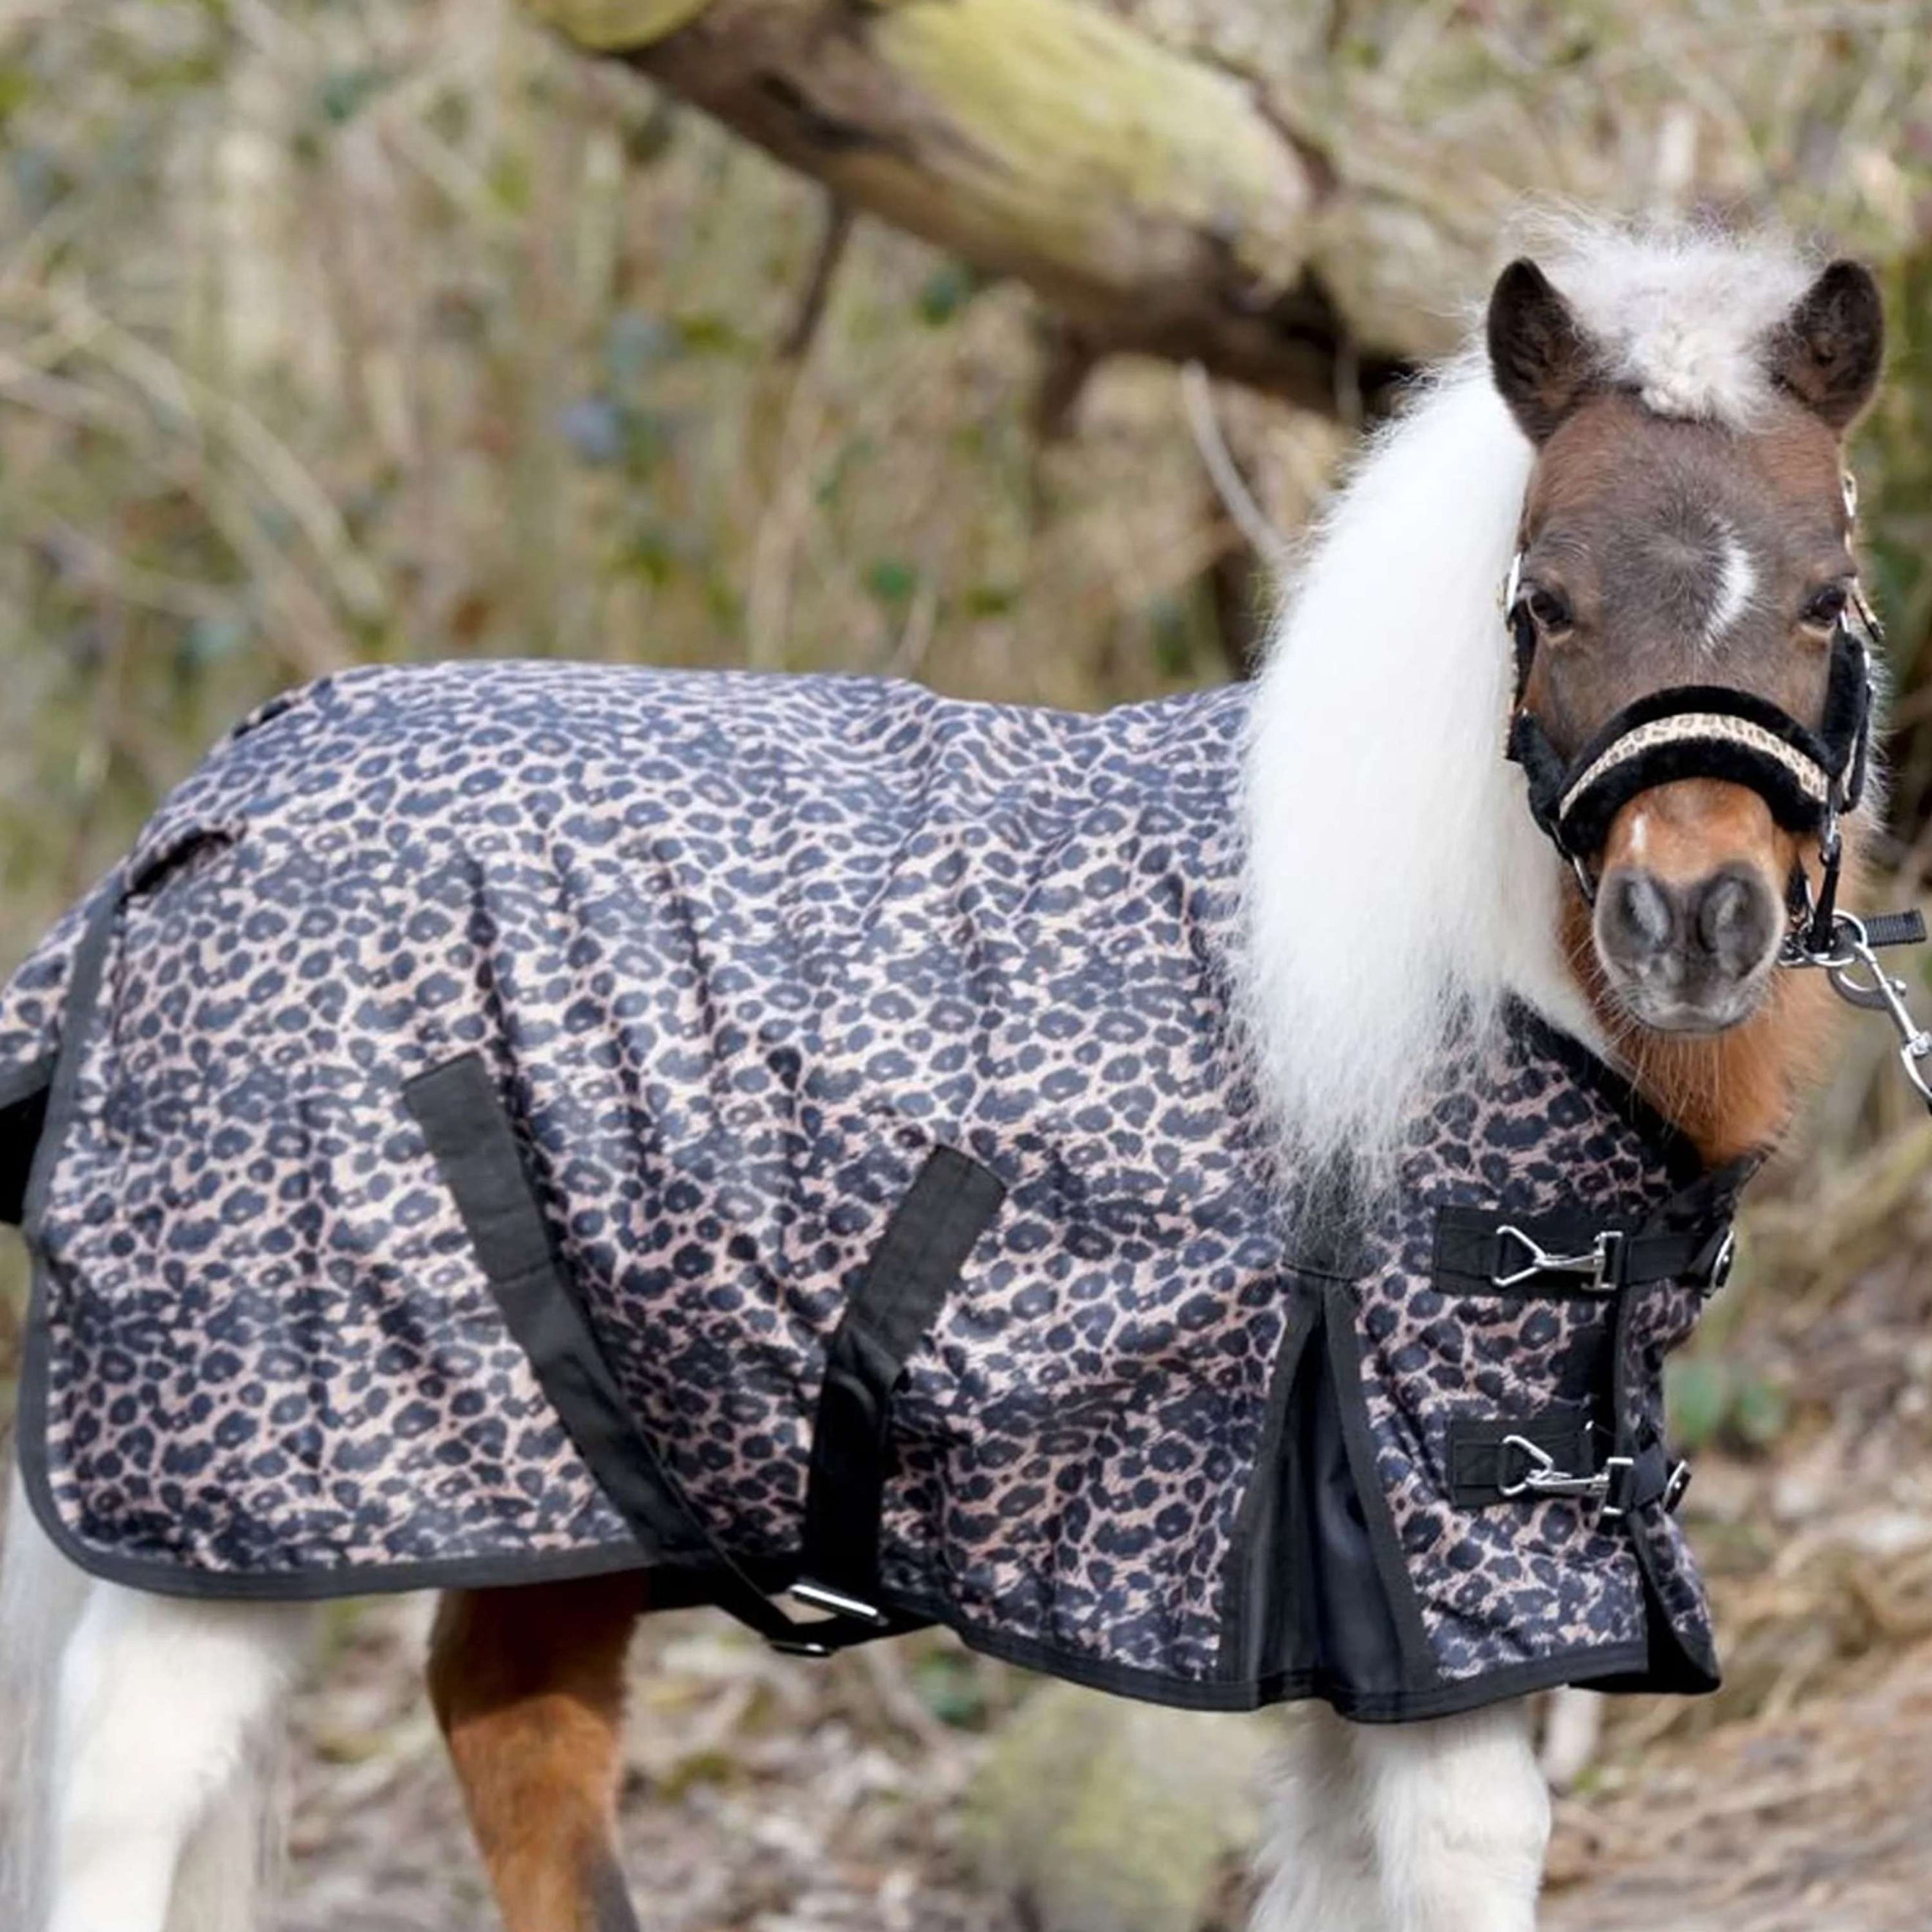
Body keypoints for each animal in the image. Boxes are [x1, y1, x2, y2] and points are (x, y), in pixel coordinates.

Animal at [0, 220, 1889, 1932]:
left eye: (1825, 596)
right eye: (1542, 601)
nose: (1693, 919)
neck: (1434, 956)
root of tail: (197, 819)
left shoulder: (1369, 1606)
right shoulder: (1440, 1549)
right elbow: (1463, 1864)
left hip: (564, 1464)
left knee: (510, 1729)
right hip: (231, 1502)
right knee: (126, 1793)